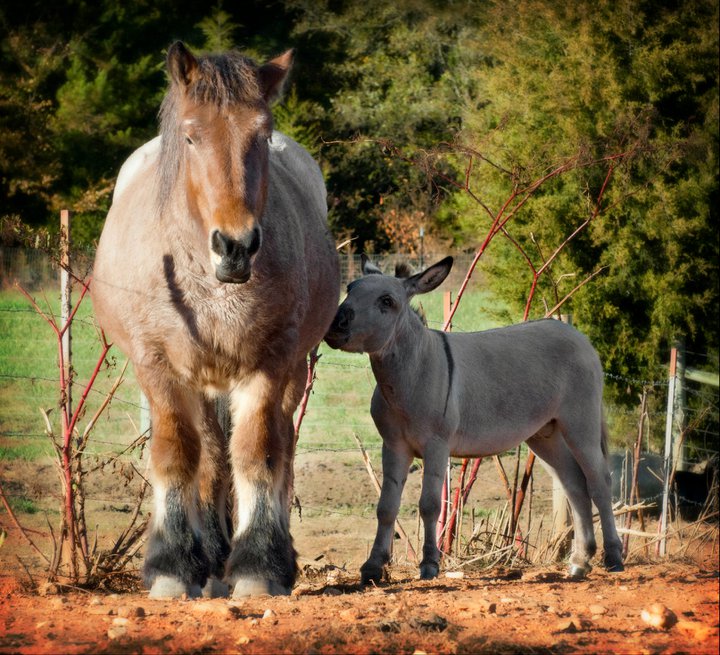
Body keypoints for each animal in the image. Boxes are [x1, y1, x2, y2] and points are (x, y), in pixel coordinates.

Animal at [92, 42, 340, 600]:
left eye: (262, 135)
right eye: (190, 136)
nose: (236, 245)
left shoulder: (271, 365)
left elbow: (257, 454)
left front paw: (258, 567)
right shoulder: (159, 367)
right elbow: (177, 455)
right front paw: (172, 566)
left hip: (288, 373)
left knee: (274, 451)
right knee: (206, 456)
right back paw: (208, 560)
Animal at [326, 256, 624, 584]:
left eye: (387, 301)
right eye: (350, 289)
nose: (334, 324)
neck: (410, 372)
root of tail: (579, 336)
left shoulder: (436, 445)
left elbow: (429, 505)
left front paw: (429, 565)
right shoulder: (393, 446)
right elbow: (386, 506)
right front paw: (373, 567)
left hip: (579, 423)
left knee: (599, 481)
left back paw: (613, 557)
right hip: (545, 434)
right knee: (574, 484)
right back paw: (580, 561)